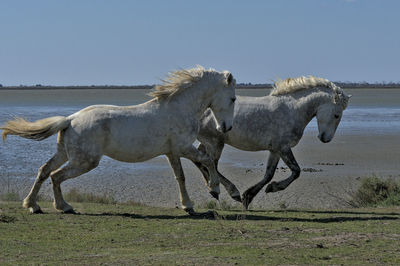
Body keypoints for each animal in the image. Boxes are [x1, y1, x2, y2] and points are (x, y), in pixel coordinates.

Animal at [0, 66, 238, 214]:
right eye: (233, 98)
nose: (226, 127)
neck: (179, 108)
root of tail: (71, 119)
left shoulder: (172, 152)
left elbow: (180, 177)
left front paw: (188, 205)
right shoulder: (184, 147)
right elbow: (207, 160)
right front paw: (215, 190)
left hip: (65, 153)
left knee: (44, 171)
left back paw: (32, 205)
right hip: (85, 161)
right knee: (56, 176)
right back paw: (63, 207)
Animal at [196, 76, 350, 209]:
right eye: (337, 115)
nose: (325, 139)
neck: (293, 110)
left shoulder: (275, 150)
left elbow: (269, 174)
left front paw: (249, 196)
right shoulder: (283, 148)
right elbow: (296, 171)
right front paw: (272, 188)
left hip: (208, 143)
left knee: (201, 162)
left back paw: (213, 189)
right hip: (215, 143)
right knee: (211, 165)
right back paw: (230, 191)